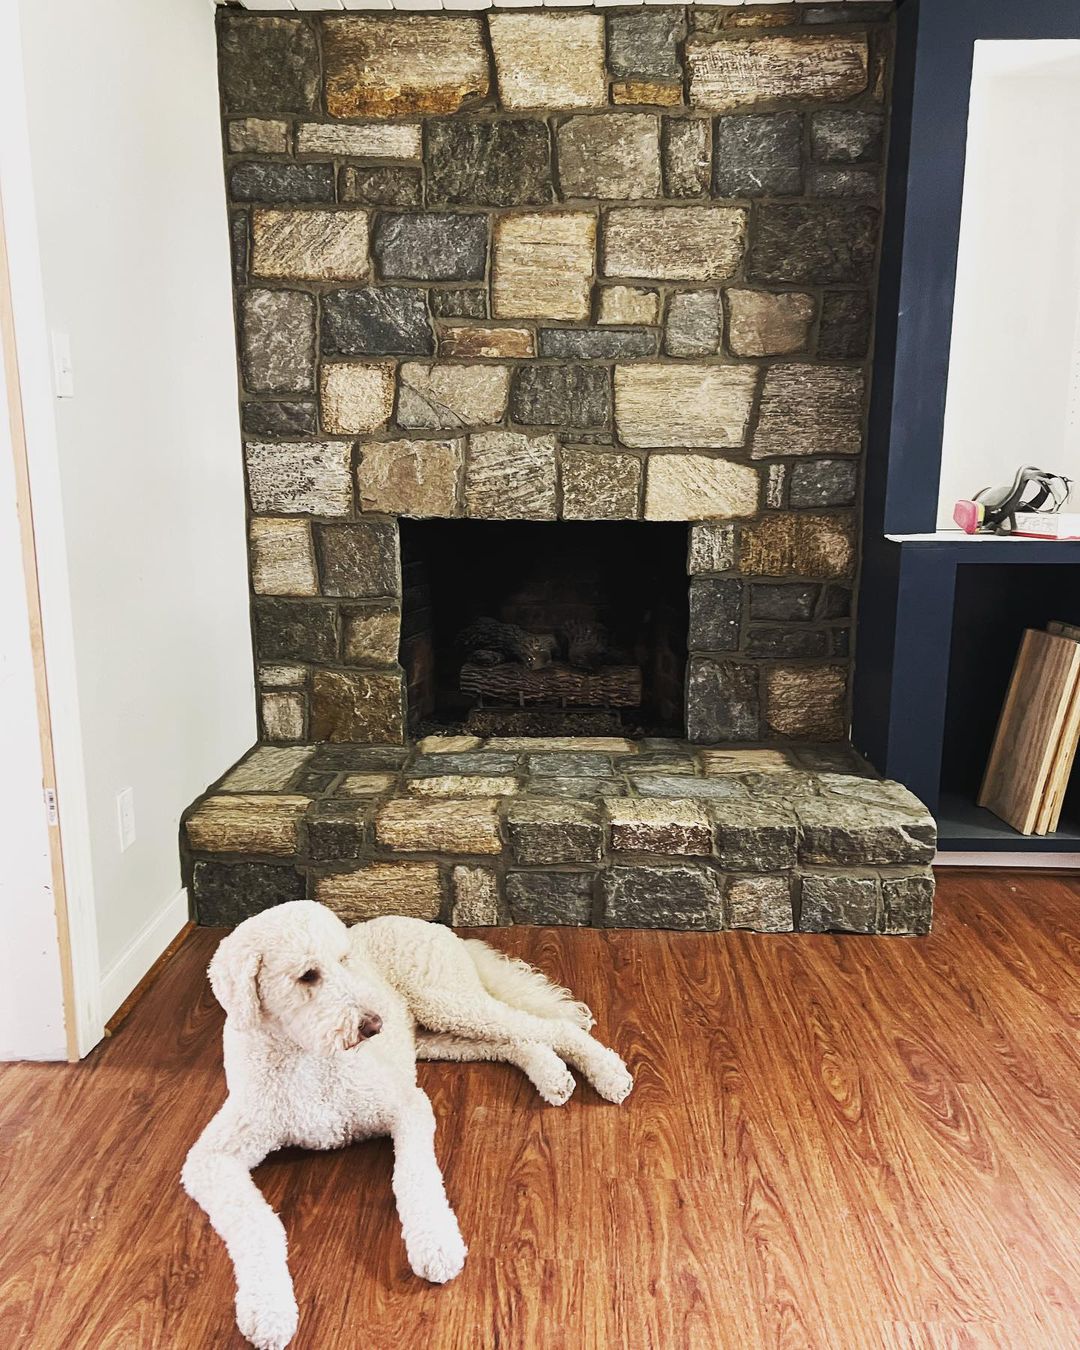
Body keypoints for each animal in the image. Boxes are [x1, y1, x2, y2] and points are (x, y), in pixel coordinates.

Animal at [180, 896, 629, 1350]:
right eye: (307, 975)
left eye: (345, 960)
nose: (373, 1024)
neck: (305, 1055)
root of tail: (433, 925)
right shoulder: (211, 1159)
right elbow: (256, 1224)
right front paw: (268, 1307)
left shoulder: (406, 1105)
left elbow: (414, 1177)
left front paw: (437, 1243)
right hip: (437, 1037)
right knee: (513, 1042)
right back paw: (551, 1073)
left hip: (446, 1002)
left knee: (548, 1027)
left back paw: (607, 1071)